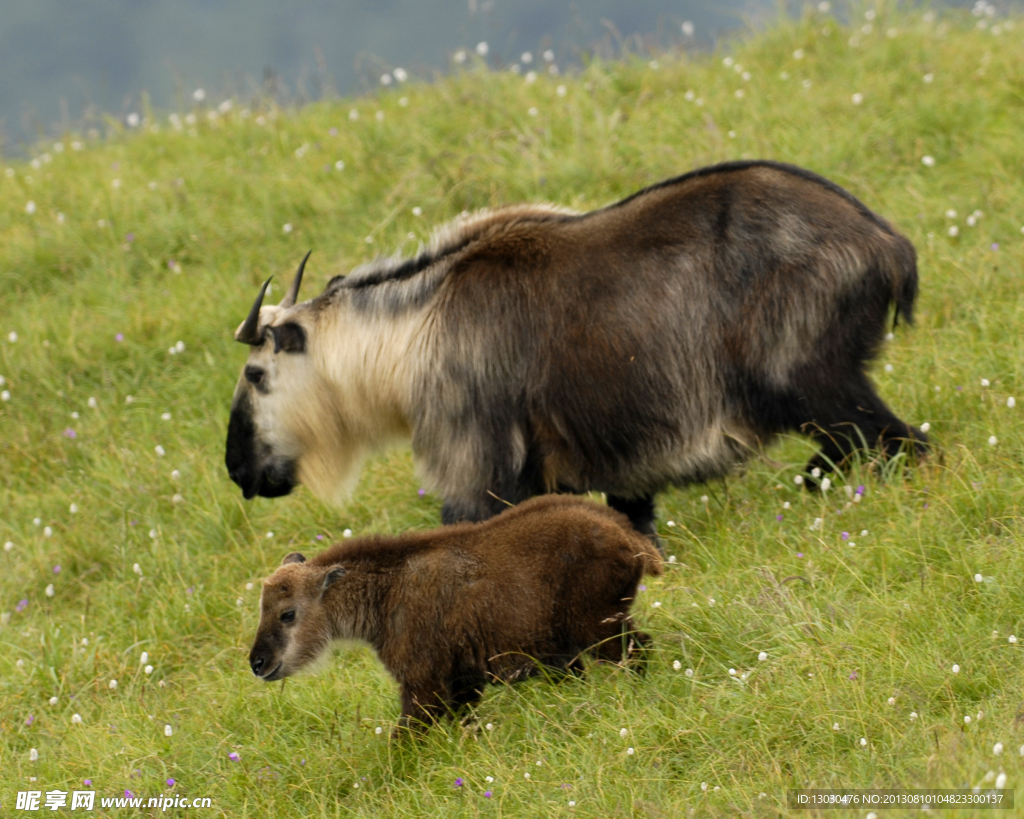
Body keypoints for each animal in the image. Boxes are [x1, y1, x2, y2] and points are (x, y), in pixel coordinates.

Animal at [226, 159, 929, 536]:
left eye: (256, 373)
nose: (238, 469)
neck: (415, 328)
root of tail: (886, 244)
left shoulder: (475, 467)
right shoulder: (620, 475)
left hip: (818, 387)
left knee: (906, 445)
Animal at [248, 493, 663, 728]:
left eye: (287, 613)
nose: (257, 662)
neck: (386, 593)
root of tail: (630, 538)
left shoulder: (423, 683)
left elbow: (406, 738)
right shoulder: (465, 680)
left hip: (599, 627)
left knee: (639, 650)